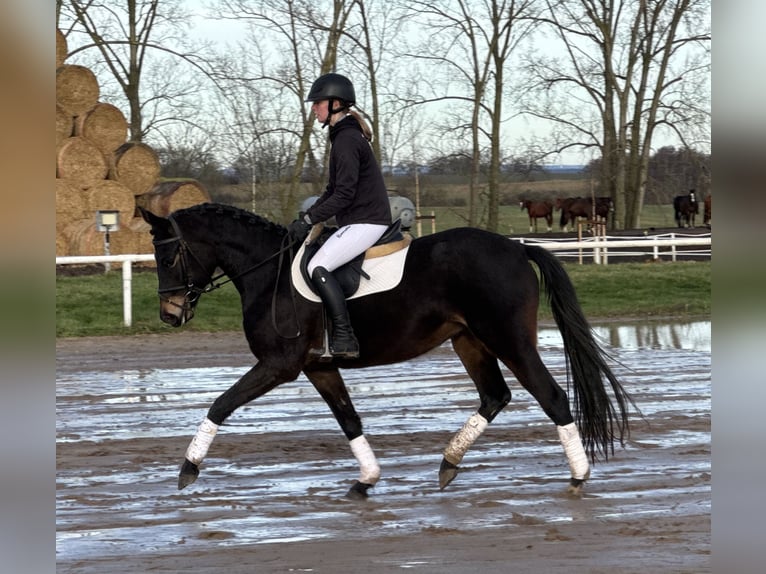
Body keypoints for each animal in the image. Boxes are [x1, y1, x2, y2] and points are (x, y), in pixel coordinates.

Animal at [140, 205, 636, 502]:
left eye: (167, 257)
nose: (169, 314)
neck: (270, 274)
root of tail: (516, 247)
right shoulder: (318, 367)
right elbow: (349, 420)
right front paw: (367, 480)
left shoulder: (279, 365)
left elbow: (220, 404)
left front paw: (187, 468)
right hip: (469, 340)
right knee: (495, 396)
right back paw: (448, 463)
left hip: (508, 339)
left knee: (550, 396)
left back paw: (578, 476)